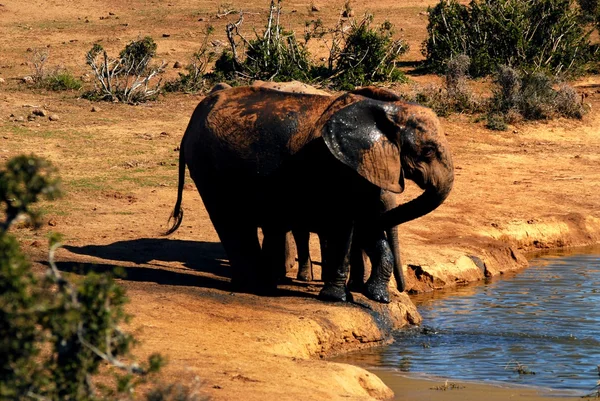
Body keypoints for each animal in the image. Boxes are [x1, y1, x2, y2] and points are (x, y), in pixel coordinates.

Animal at [166, 86, 452, 302]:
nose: (403, 290)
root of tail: (198, 110)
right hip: (208, 166)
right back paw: (255, 286)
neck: (386, 110)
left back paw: (260, 283)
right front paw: (338, 298)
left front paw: (378, 297)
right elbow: (345, 225)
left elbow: (365, 223)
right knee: (231, 220)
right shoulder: (333, 163)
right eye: (427, 151)